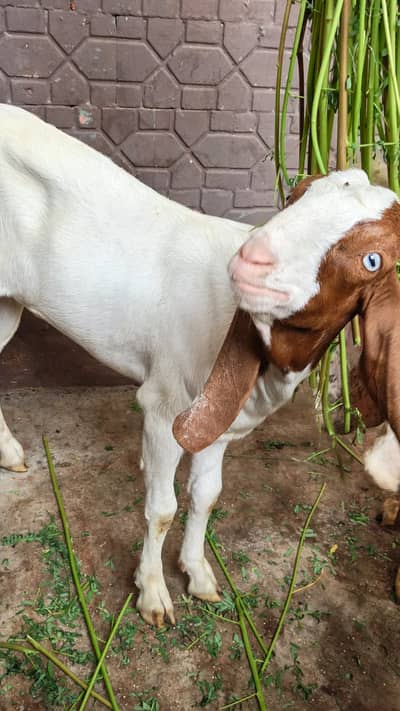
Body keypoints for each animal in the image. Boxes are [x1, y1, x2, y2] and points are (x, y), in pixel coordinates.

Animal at [0, 105, 399, 628]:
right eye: (294, 196)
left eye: (373, 260)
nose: (252, 259)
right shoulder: (165, 405)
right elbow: (163, 507)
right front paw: (152, 592)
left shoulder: (217, 422)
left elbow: (206, 495)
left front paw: (198, 573)